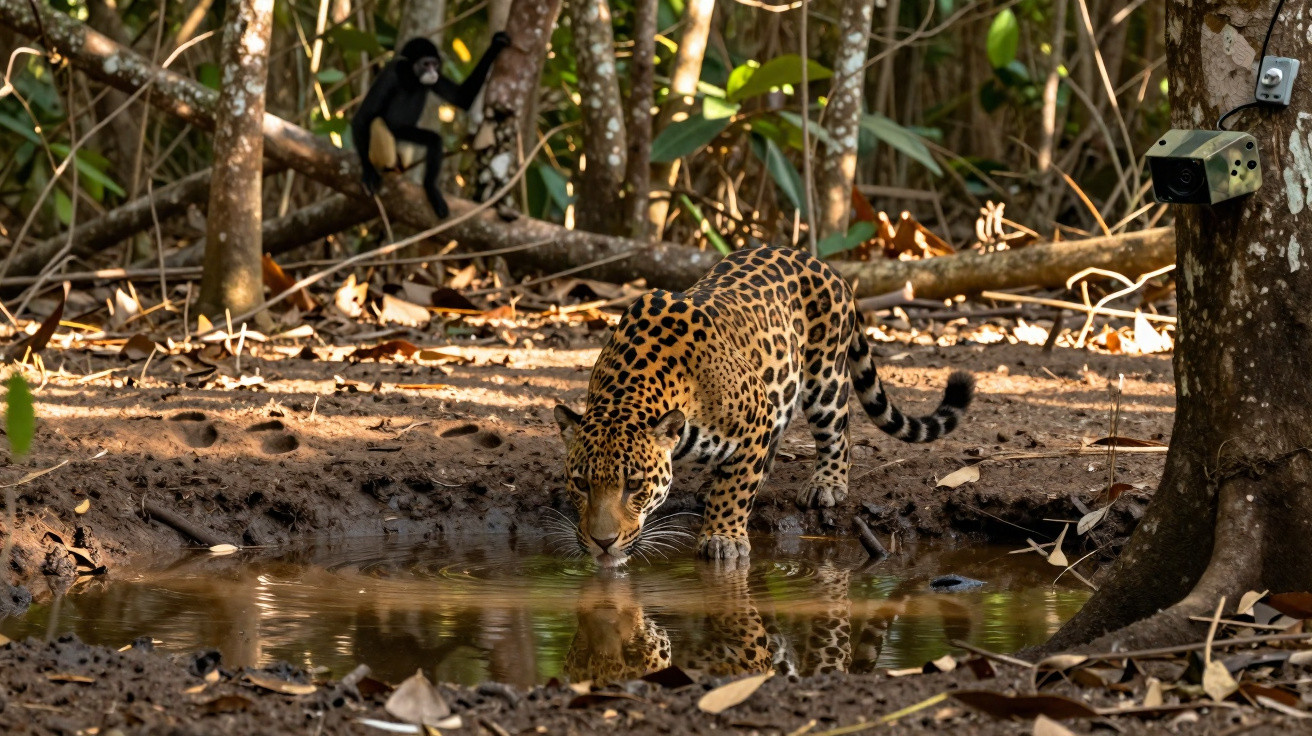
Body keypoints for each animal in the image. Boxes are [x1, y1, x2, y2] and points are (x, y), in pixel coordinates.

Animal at [352, 32, 511, 218]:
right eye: (426, 64)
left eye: (434, 64)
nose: (433, 72)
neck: (411, 78)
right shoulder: (390, 75)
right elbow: (362, 118)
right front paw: (368, 172)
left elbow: (461, 97)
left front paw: (496, 44)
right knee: (379, 122)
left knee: (433, 140)